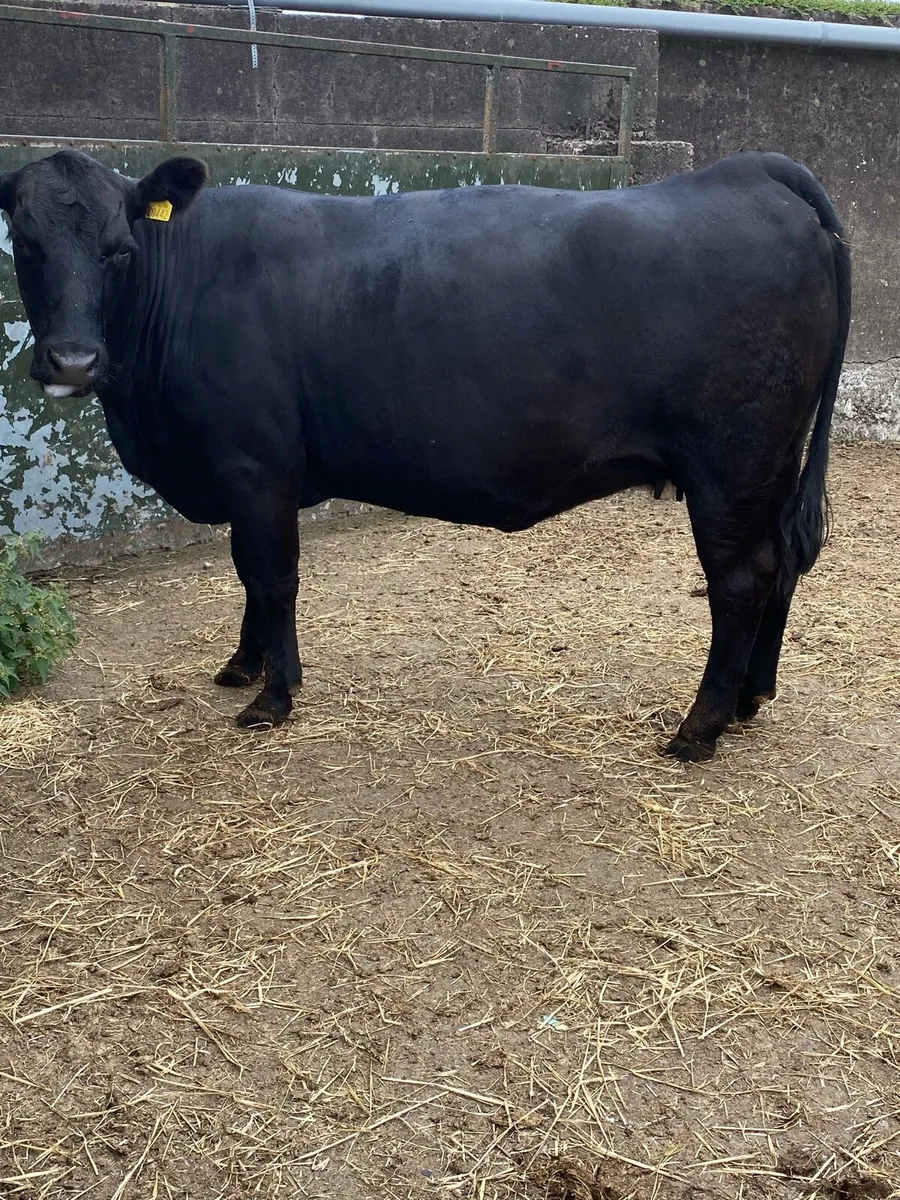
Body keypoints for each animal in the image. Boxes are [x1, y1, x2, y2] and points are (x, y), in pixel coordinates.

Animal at [0, 148, 850, 761]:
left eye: (119, 250)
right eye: (26, 244)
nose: (73, 361)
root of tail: (748, 170)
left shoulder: (255, 466)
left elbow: (271, 578)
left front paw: (273, 696)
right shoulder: (246, 478)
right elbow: (246, 578)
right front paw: (242, 666)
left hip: (731, 465)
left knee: (741, 581)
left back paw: (699, 728)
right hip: (770, 467)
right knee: (780, 567)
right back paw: (749, 698)